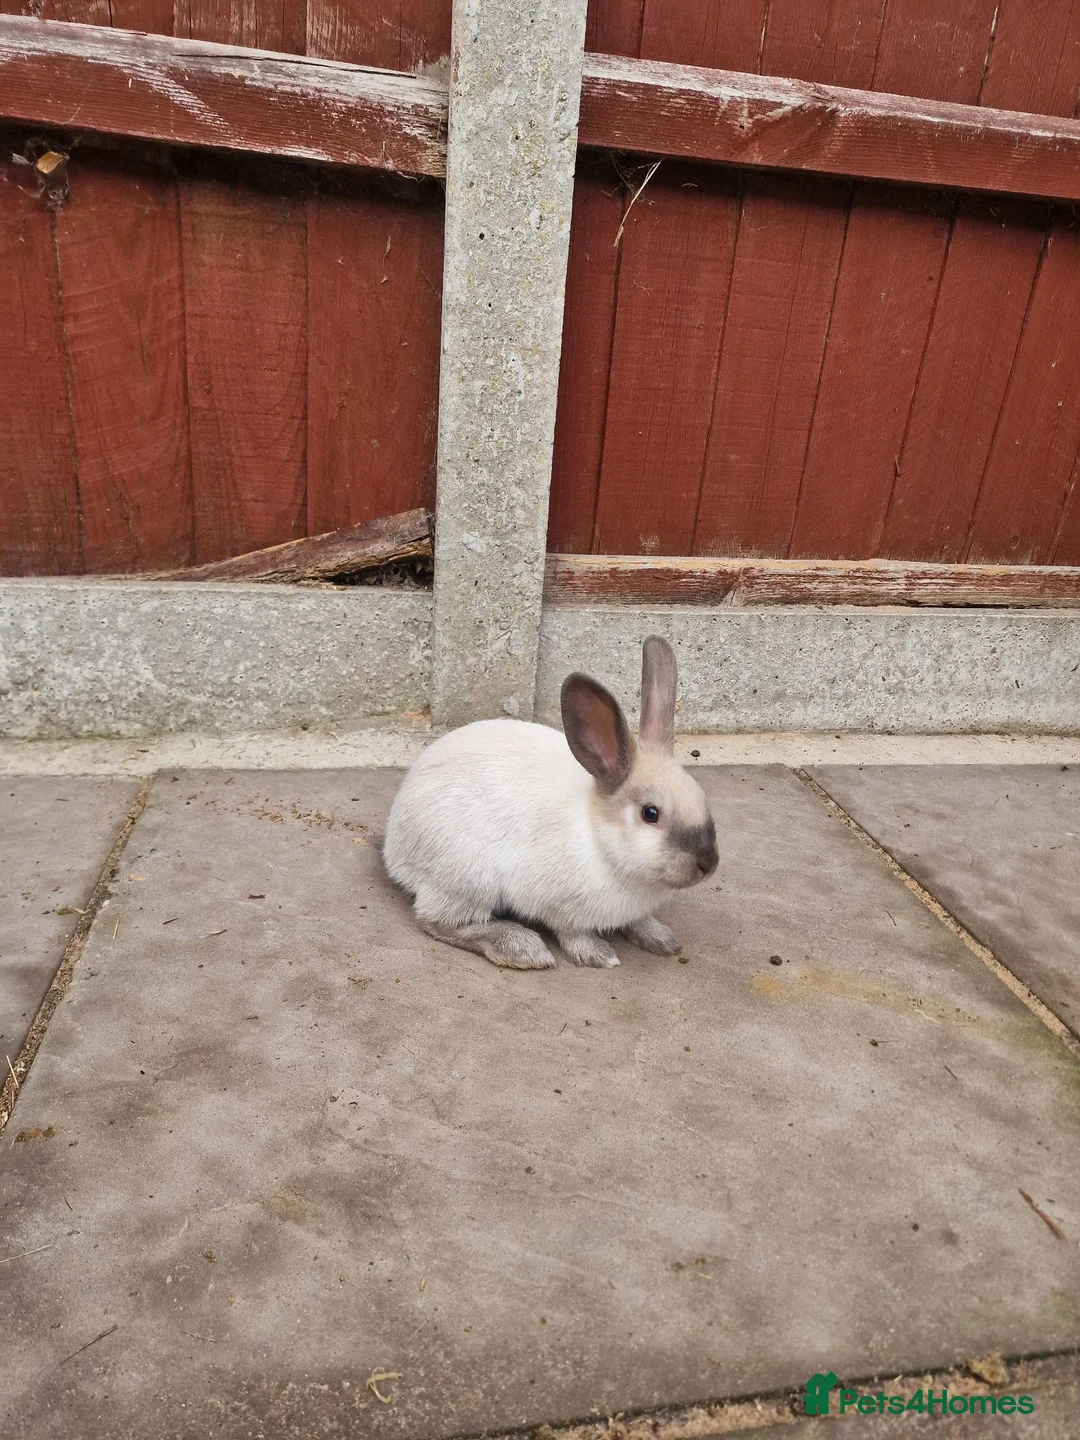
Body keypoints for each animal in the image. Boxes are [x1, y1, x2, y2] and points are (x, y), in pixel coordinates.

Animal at [382, 636, 718, 970]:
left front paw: (662, 939)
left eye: (702, 796)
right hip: (466, 880)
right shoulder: (559, 907)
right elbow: (572, 933)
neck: (599, 838)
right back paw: (522, 948)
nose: (708, 864)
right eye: (650, 813)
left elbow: (639, 922)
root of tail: (393, 847)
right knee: (436, 921)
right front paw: (599, 955)